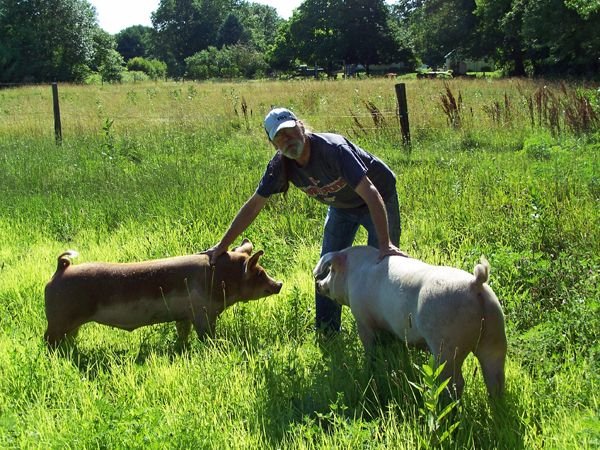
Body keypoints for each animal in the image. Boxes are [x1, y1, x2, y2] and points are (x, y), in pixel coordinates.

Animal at [44, 239, 284, 348]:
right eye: (259, 273)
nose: (280, 283)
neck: (223, 279)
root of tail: (62, 269)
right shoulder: (203, 313)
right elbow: (206, 335)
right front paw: (216, 345)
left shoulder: (184, 315)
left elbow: (183, 332)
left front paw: (182, 347)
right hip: (58, 320)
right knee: (47, 339)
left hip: (71, 324)